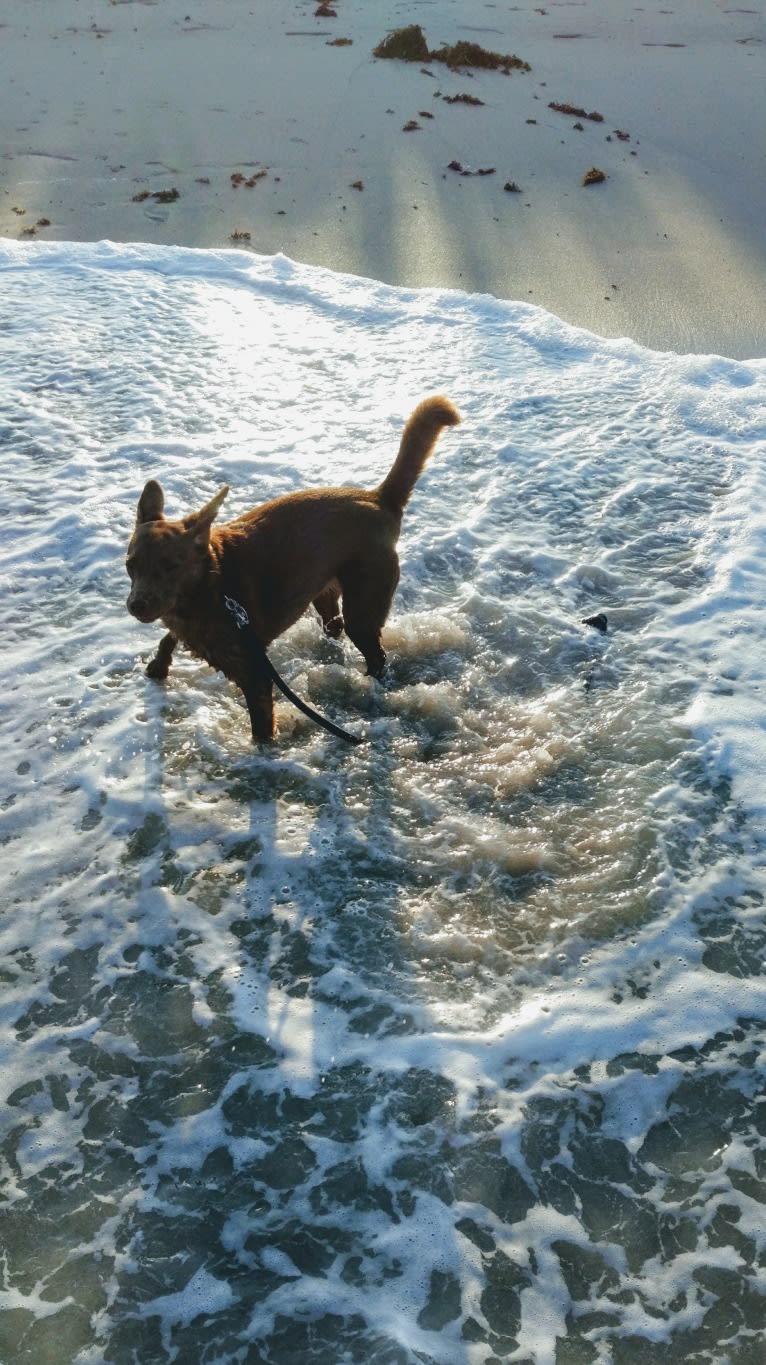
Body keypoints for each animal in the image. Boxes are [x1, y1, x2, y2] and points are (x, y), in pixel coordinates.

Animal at [126, 395, 458, 742]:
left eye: (170, 566)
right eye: (130, 565)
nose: (136, 605)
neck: (212, 584)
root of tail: (377, 498)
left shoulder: (255, 674)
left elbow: (261, 730)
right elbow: (168, 638)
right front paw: (158, 665)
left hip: (364, 607)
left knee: (376, 656)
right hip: (323, 591)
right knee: (334, 625)